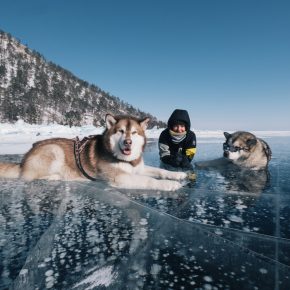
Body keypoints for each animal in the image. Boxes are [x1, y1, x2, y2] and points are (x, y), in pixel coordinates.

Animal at [0, 114, 187, 191]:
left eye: (134, 133)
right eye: (120, 131)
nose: (128, 142)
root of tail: (24, 159)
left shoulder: (138, 167)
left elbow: (160, 171)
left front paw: (177, 175)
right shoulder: (119, 177)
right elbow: (149, 180)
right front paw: (168, 185)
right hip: (54, 150)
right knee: (31, 176)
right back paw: (56, 176)